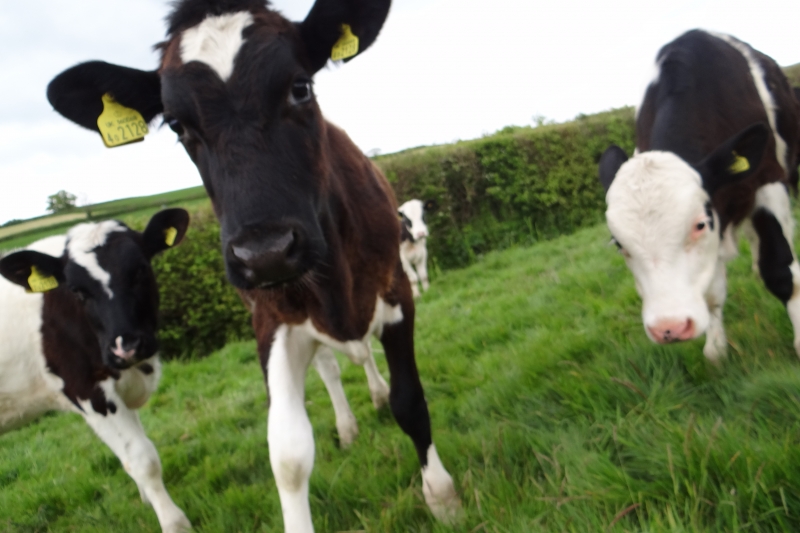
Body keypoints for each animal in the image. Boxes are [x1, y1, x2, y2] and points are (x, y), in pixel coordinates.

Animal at [0, 209, 191, 533]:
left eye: (140, 270)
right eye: (77, 290)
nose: (127, 346)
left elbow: (132, 454)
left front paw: (148, 501)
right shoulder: (88, 390)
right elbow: (143, 459)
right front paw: (174, 523)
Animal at [45, 1, 461, 530]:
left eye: (300, 87)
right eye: (177, 125)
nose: (265, 252)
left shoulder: (396, 290)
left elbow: (409, 400)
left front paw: (442, 496)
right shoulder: (271, 319)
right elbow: (287, 453)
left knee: (362, 357)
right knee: (330, 368)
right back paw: (347, 425)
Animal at [598, 29, 800, 362]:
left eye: (699, 225)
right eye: (618, 244)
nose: (670, 328)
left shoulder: (767, 180)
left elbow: (780, 270)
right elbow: (712, 293)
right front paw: (716, 349)